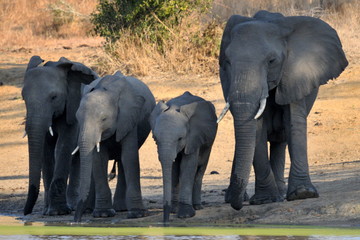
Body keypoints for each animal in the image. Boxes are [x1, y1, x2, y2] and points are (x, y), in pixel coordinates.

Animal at [74, 71, 155, 221]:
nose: (76, 221)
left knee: (123, 161)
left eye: (103, 119)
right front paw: (102, 214)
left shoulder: (129, 118)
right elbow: (99, 160)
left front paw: (137, 214)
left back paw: (121, 208)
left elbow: (129, 157)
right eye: (77, 119)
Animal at [149, 91, 217, 222]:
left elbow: (188, 166)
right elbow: (174, 169)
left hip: (208, 144)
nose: (166, 222)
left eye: (180, 138)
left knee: (200, 169)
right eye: (155, 138)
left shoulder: (194, 137)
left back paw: (197, 207)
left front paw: (185, 215)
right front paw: (174, 210)